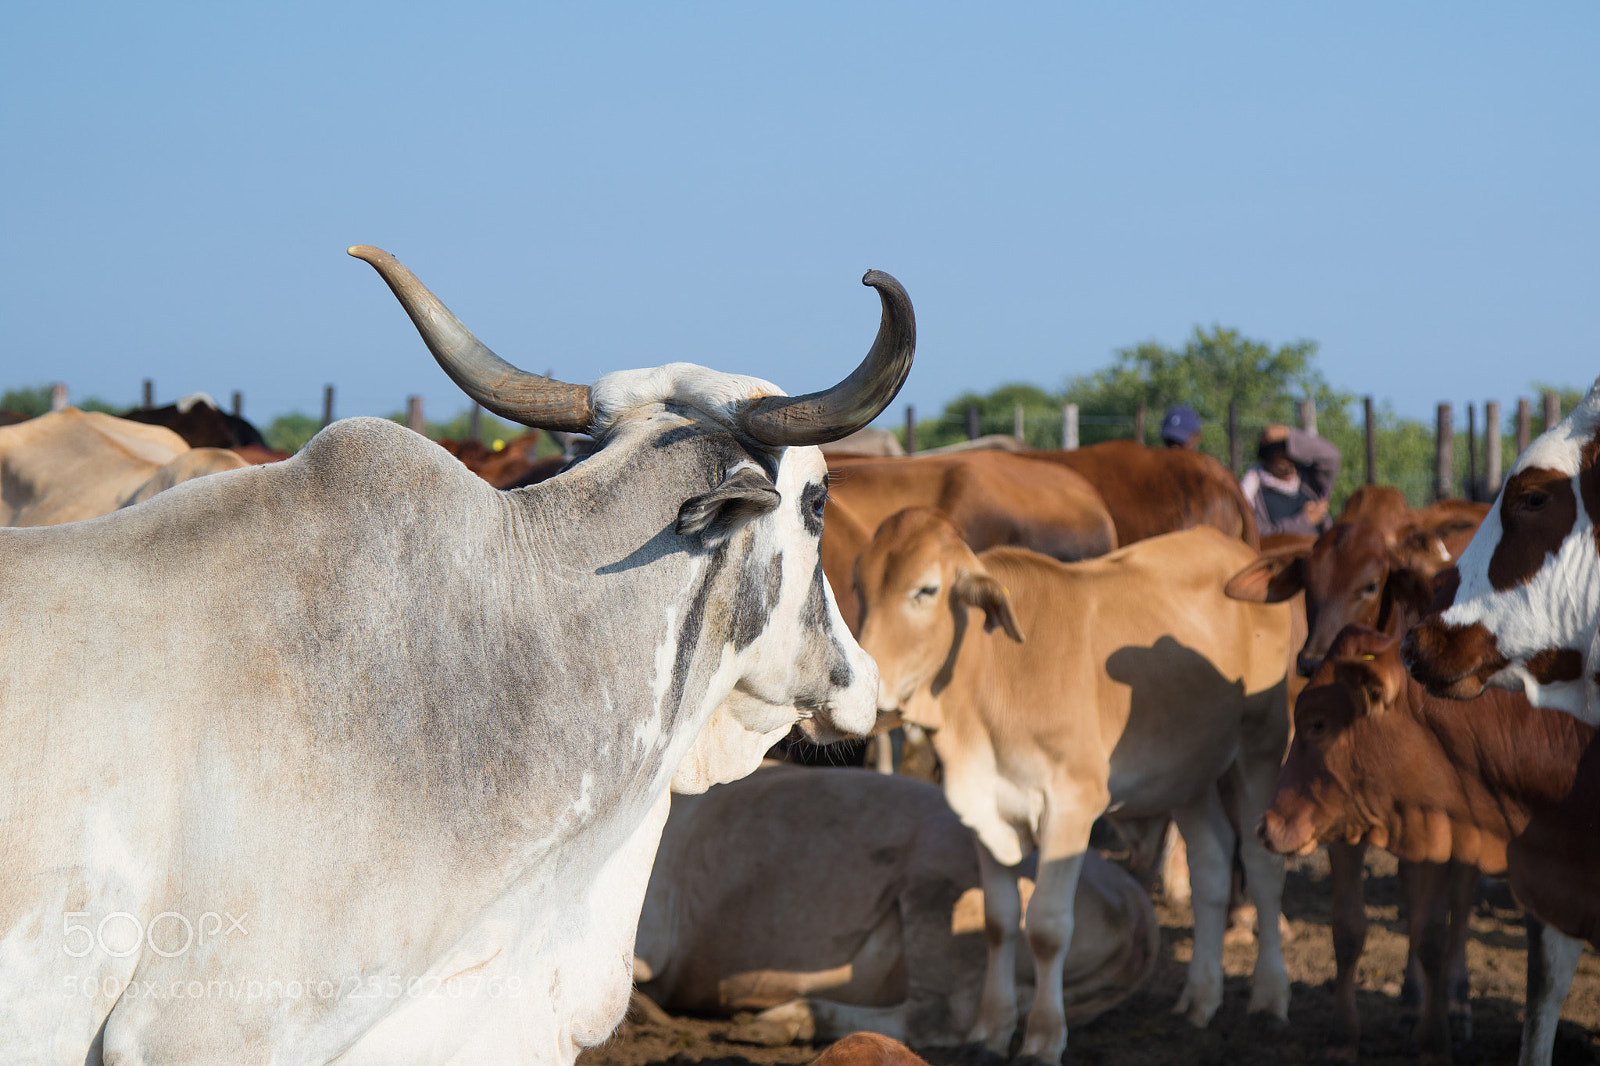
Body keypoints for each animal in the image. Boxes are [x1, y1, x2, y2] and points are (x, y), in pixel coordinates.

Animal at [855, 510, 1292, 1061]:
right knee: (1211, 862)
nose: (869, 694)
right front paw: (990, 1030)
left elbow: (1045, 926)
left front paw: (1042, 1038)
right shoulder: (985, 811)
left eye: (926, 590)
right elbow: (999, 923)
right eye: (859, 586)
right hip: (1186, 773)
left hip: (1261, 743)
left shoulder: (1071, 804)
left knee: (1261, 863)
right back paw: (1200, 997)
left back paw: (1270, 998)